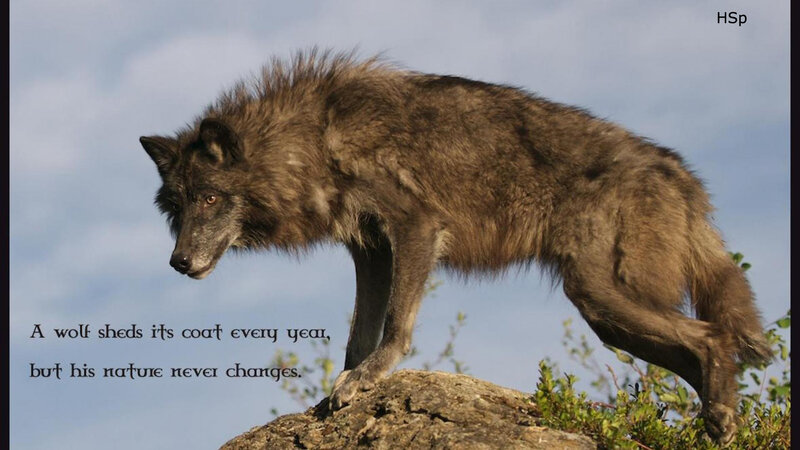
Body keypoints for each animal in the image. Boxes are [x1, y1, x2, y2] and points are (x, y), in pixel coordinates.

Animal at [140, 49, 770, 443]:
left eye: (210, 199)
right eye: (177, 208)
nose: (178, 262)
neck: (312, 141)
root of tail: (680, 174)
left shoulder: (416, 228)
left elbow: (395, 327)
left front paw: (367, 380)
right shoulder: (371, 251)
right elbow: (357, 335)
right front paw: (337, 395)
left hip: (601, 296)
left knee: (711, 339)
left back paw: (722, 421)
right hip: (608, 312)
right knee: (701, 352)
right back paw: (720, 424)